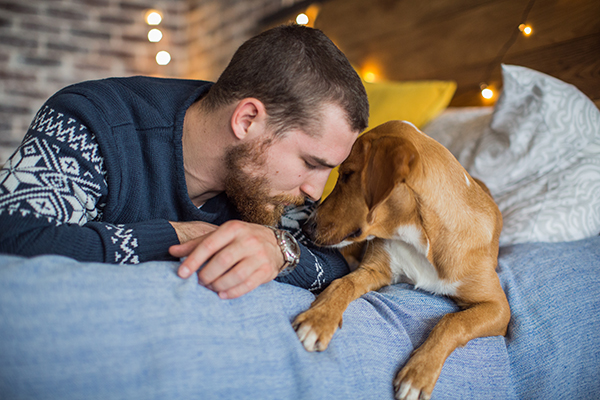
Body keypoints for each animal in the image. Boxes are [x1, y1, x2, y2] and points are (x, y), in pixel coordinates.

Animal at [292, 120, 508, 400]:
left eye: (347, 174)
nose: (305, 228)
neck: (420, 237)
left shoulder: (499, 307)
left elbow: (453, 322)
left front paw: (419, 373)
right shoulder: (375, 268)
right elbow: (343, 284)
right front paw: (319, 319)